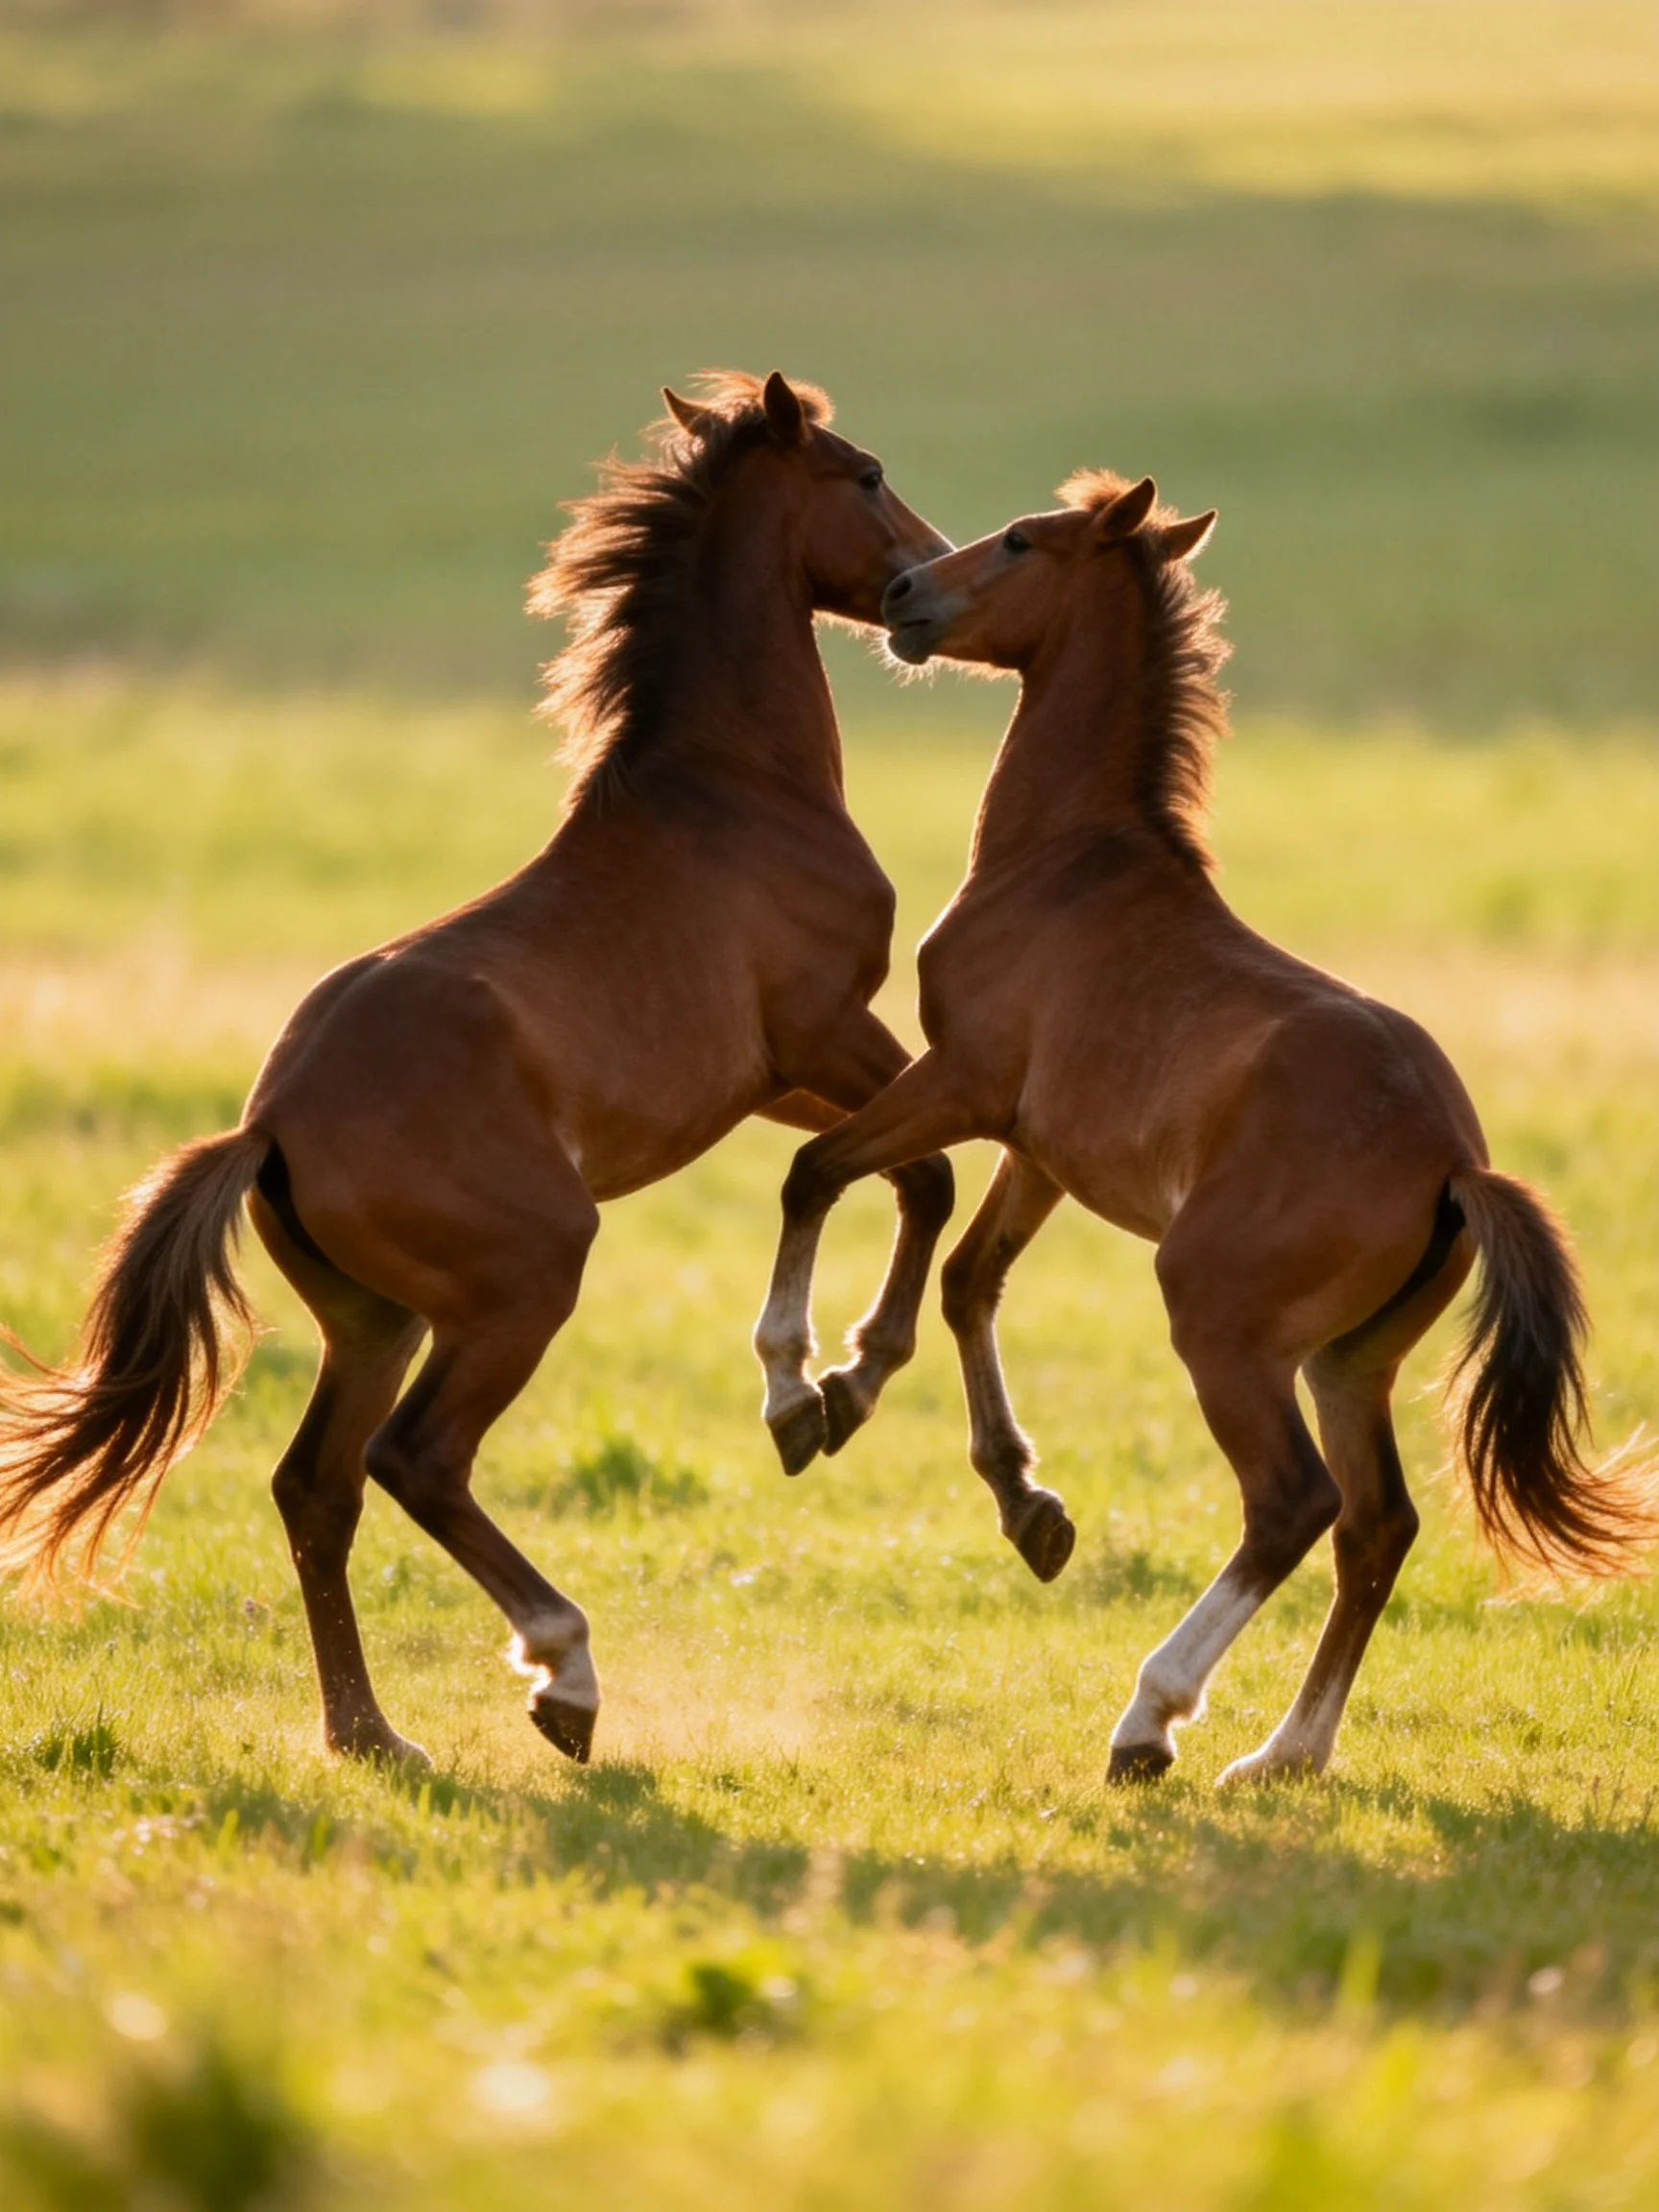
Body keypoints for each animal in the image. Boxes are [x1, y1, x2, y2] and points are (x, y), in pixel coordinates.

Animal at [0, 369, 957, 1770]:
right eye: (868, 473)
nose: (926, 592)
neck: (733, 795)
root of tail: (269, 1124)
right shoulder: (829, 1030)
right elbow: (915, 1173)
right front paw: (824, 1396)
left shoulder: (771, 1080)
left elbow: (872, 1169)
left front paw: (814, 1391)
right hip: (526, 1279)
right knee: (416, 1460)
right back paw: (563, 1677)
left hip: (377, 1319)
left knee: (314, 1484)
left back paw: (371, 1735)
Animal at [755, 467, 1652, 1785]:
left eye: (1021, 541)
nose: (906, 593)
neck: (1067, 863)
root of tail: (1455, 1164)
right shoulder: (1039, 1146)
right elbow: (971, 1278)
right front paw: (1010, 1496)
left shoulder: (961, 1081)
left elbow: (819, 1169)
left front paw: (802, 1392)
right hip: (1349, 1362)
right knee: (1378, 1523)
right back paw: (1285, 1752)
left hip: (1220, 1325)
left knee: (1294, 1505)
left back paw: (1151, 1718)